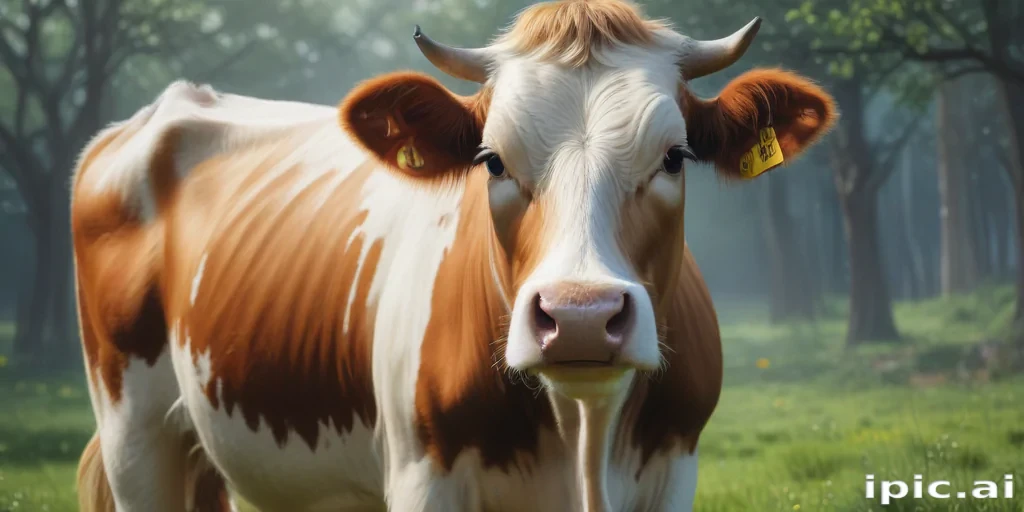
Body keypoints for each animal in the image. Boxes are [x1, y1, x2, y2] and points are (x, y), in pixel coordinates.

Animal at [72, 1, 836, 510]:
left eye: (675, 156)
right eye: (491, 159)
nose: (580, 317)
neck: (582, 438)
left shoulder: (676, 467)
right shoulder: (422, 475)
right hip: (134, 436)